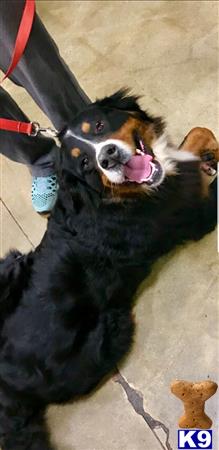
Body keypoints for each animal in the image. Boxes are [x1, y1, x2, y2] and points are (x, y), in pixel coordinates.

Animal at [0, 89, 217, 448]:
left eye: (99, 126)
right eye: (85, 163)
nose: (109, 157)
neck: (113, 196)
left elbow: (196, 135)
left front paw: (209, 153)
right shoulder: (194, 216)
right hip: (109, 334)